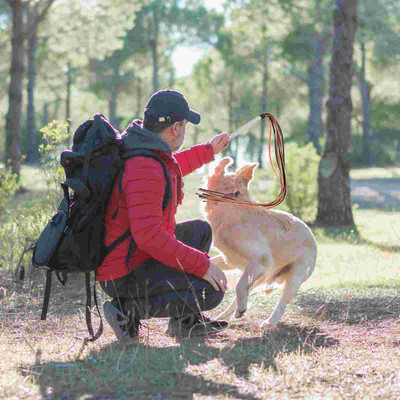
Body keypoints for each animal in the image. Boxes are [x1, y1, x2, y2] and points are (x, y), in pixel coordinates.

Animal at [205, 156, 318, 328]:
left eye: (236, 193)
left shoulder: (261, 258)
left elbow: (239, 286)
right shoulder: (229, 260)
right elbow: (214, 264)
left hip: (293, 277)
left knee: (281, 304)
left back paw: (269, 322)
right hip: (261, 275)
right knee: (240, 295)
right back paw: (226, 316)